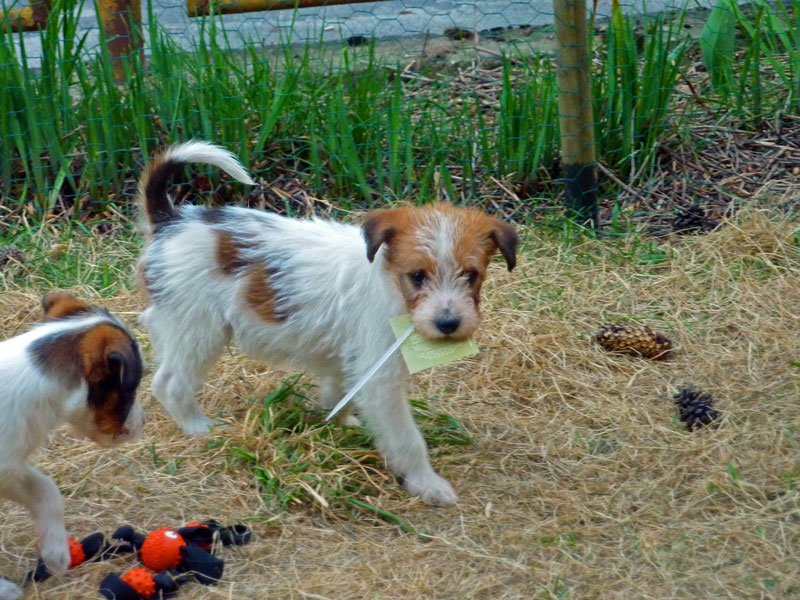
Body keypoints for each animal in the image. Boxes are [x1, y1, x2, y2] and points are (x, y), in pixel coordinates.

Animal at [136, 141, 518, 506]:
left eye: (471, 275)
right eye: (417, 276)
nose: (448, 323)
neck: (388, 281)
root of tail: (172, 219)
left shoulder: (349, 361)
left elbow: (339, 392)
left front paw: (342, 424)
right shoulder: (381, 378)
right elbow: (407, 439)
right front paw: (426, 484)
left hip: (175, 321)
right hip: (199, 329)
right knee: (169, 382)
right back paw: (199, 427)